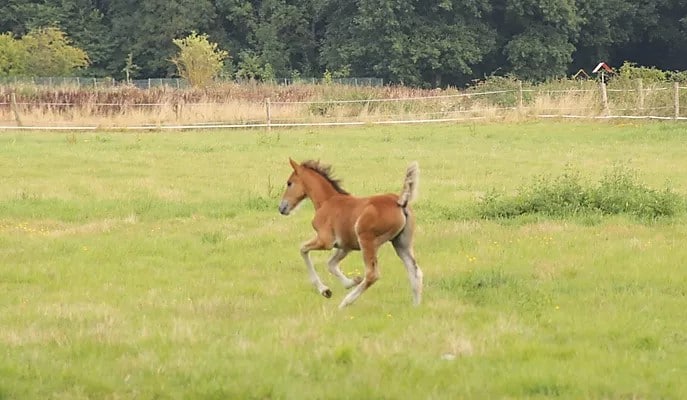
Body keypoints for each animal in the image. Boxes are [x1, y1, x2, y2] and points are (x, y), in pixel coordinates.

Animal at [280, 159, 424, 310]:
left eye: (289, 183)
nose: (282, 207)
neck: (327, 201)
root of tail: (400, 202)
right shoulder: (345, 246)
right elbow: (331, 264)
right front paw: (352, 281)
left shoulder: (325, 241)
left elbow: (303, 249)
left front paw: (325, 290)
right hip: (401, 243)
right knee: (415, 271)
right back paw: (416, 307)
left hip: (367, 240)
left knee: (372, 275)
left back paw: (345, 303)